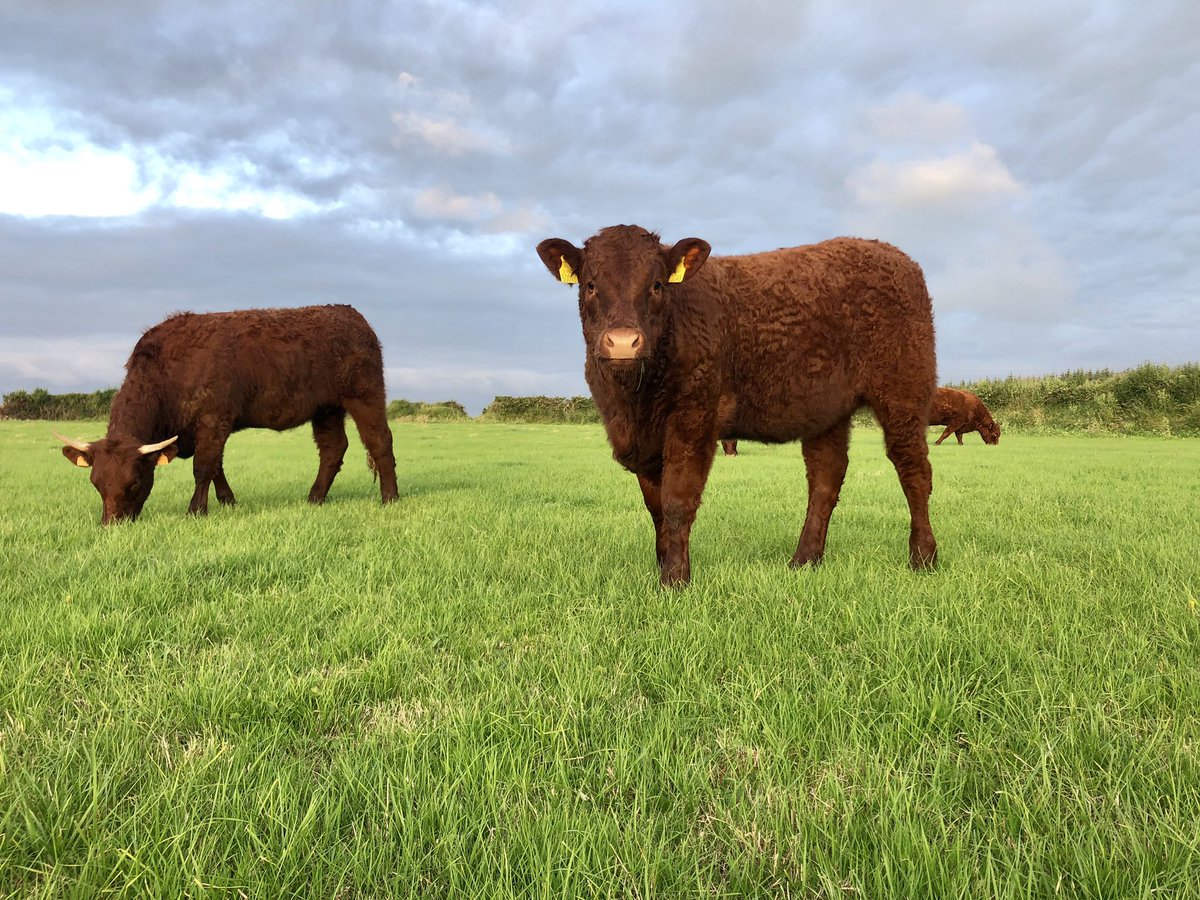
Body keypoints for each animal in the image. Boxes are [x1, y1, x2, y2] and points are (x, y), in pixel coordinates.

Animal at [56, 304, 398, 525]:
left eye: (135, 483)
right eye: (96, 483)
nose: (112, 524)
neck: (167, 370)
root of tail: (353, 316)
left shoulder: (213, 418)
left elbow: (203, 466)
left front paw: (195, 511)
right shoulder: (207, 428)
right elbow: (217, 466)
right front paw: (228, 501)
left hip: (365, 395)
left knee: (380, 442)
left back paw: (390, 499)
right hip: (326, 409)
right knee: (332, 449)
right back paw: (314, 498)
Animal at [536, 225, 938, 586]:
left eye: (657, 285)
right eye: (590, 284)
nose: (623, 342)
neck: (632, 400)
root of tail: (891, 253)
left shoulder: (694, 417)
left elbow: (677, 500)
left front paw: (675, 579)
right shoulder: (640, 440)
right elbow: (655, 507)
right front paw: (662, 563)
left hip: (903, 392)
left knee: (914, 471)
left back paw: (923, 557)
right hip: (827, 409)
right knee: (826, 477)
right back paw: (804, 560)